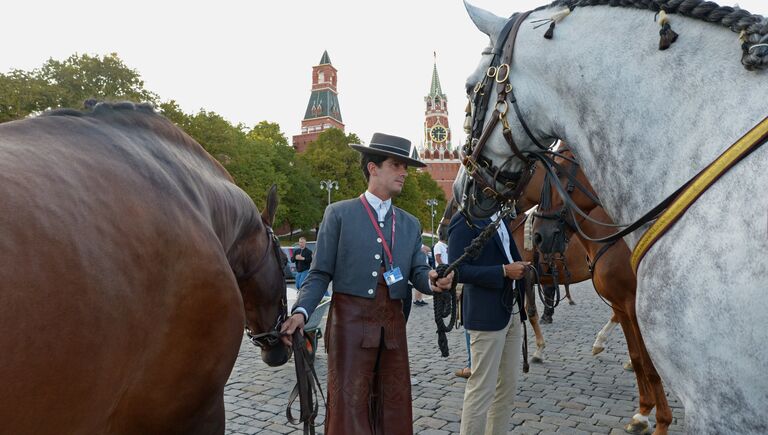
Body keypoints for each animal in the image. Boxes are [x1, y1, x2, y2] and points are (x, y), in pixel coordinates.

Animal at [536, 151, 672, 435]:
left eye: (559, 173)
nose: (538, 236)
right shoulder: (622, 306)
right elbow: (638, 357)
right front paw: (642, 413)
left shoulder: (634, 307)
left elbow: (650, 365)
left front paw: (660, 421)